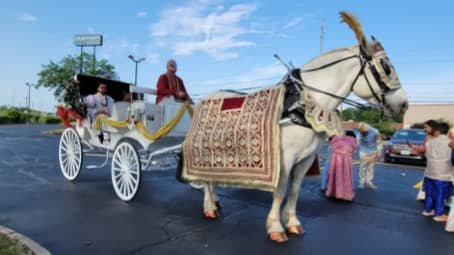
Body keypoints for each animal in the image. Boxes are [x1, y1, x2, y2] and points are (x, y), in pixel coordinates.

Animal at [197, 11, 410, 243]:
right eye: (386, 67)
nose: (403, 104)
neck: (303, 104)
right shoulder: (285, 158)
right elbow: (280, 190)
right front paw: (275, 227)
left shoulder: (305, 159)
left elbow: (295, 189)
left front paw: (292, 223)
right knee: (205, 179)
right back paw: (210, 207)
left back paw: (216, 202)